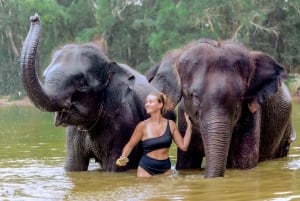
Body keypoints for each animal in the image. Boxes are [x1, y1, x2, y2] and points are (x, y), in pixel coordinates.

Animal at [19, 13, 164, 171]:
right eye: (45, 76)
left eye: (82, 83)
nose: (34, 17)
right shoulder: (74, 135)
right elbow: (73, 166)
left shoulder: (124, 126)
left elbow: (114, 166)